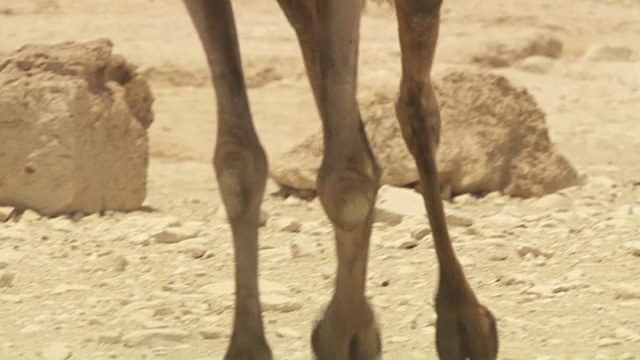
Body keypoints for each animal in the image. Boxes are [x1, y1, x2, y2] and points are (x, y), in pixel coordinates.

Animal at [182, 1, 498, 358]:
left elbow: (346, 178)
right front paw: (247, 348)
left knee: (415, 106)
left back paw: (464, 321)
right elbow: (237, 161)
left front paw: (344, 329)